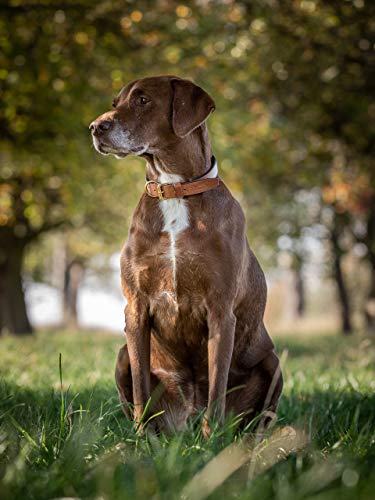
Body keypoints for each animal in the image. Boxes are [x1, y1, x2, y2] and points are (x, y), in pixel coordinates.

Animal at [90, 75, 282, 438]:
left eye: (142, 100)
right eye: (115, 102)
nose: (95, 127)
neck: (174, 190)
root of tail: (187, 417)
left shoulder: (220, 311)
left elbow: (218, 385)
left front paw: (211, 442)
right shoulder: (136, 308)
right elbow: (140, 387)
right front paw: (139, 440)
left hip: (272, 364)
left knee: (259, 417)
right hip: (122, 354)